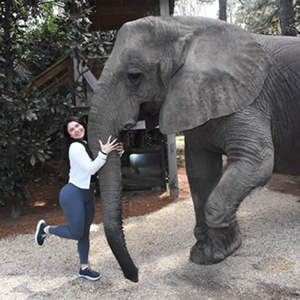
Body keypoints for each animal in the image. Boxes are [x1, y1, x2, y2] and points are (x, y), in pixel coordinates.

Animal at [86, 15, 300, 282]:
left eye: (134, 75)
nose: (135, 276)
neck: (180, 27)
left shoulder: (249, 98)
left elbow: (257, 161)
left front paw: (219, 247)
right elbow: (200, 171)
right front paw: (208, 254)